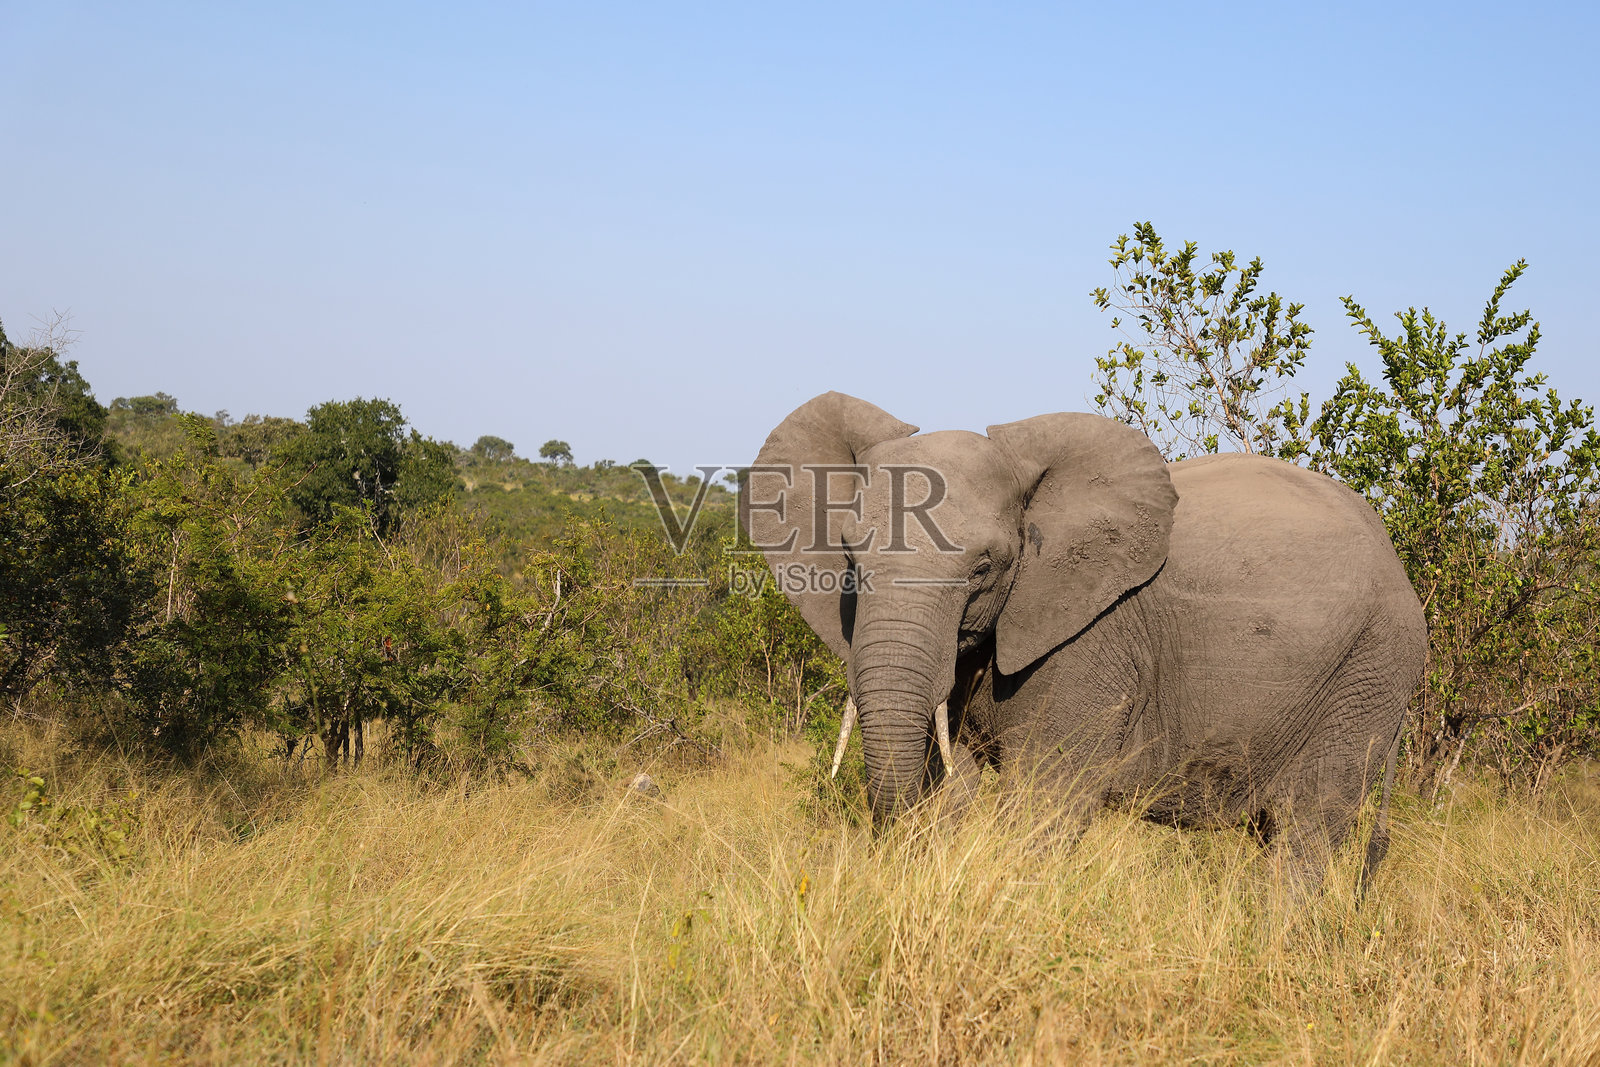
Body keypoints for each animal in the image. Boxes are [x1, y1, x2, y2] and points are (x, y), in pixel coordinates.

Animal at [740, 392, 1426, 893]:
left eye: (985, 567)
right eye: (850, 558)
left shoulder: (1093, 636)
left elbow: (1046, 800)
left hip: (1369, 670)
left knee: (1308, 823)